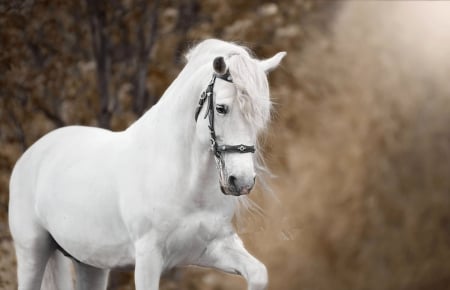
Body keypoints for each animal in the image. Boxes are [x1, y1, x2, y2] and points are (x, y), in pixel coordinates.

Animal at [8, 39, 284, 290]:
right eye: (221, 108)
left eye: (260, 115)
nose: (242, 181)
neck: (184, 181)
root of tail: (32, 153)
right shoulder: (148, 258)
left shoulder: (212, 248)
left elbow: (258, 273)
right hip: (32, 252)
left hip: (90, 263)